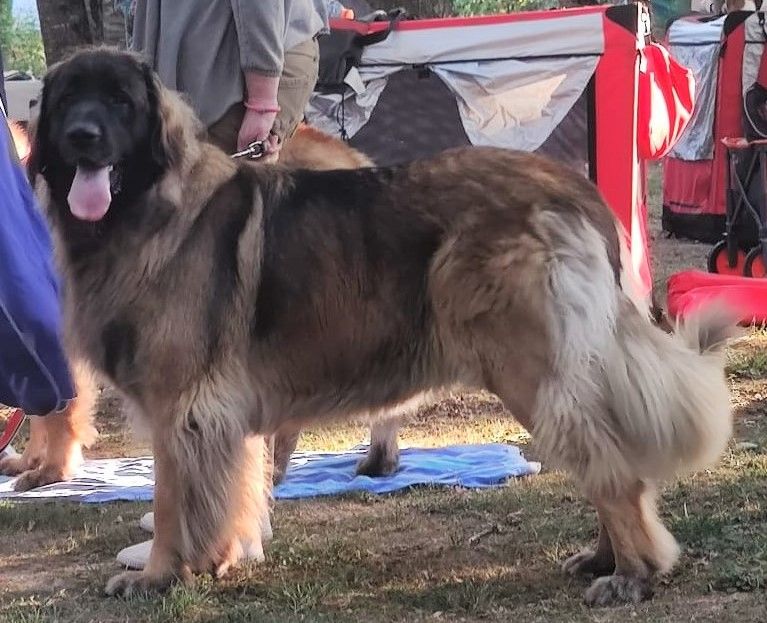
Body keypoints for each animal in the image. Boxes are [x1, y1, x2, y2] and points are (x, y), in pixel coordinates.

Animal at [30, 48, 736, 604]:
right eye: (67, 102)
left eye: (120, 102)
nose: (84, 136)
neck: (148, 209)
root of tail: (572, 188)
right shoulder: (218, 415)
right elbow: (231, 489)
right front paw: (216, 559)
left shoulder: (184, 405)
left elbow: (172, 500)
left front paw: (158, 575)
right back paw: (606, 558)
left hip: (529, 368)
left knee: (611, 468)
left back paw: (633, 575)